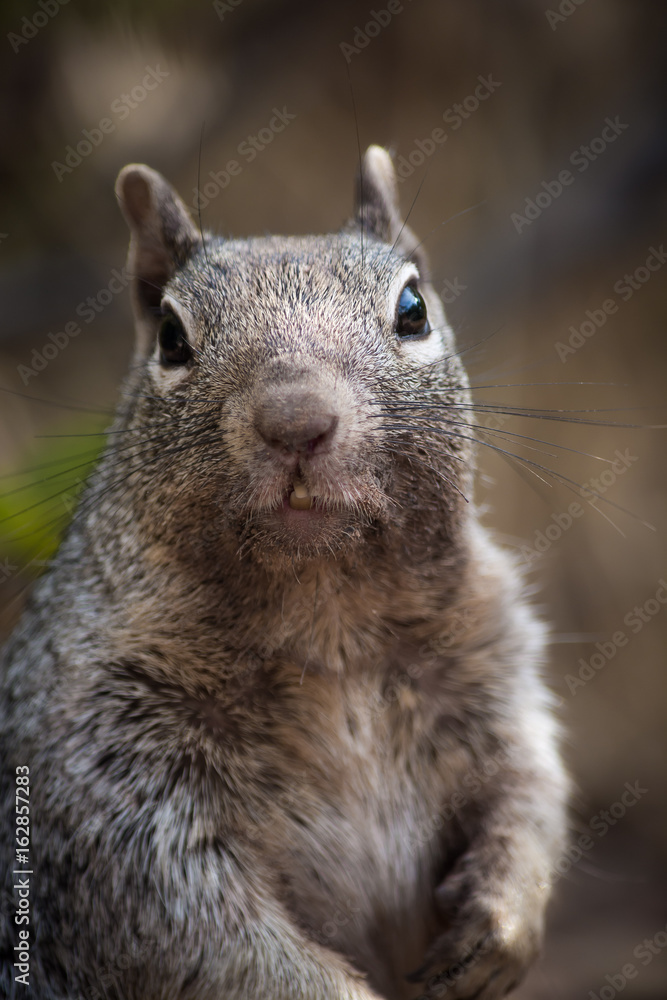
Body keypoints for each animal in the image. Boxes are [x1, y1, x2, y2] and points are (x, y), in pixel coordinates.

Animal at [0, 146, 568, 1000]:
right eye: (170, 336)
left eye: (412, 309)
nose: (296, 420)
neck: (328, 612)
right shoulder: (102, 779)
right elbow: (198, 932)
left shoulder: (495, 667)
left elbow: (527, 786)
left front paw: (502, 919)